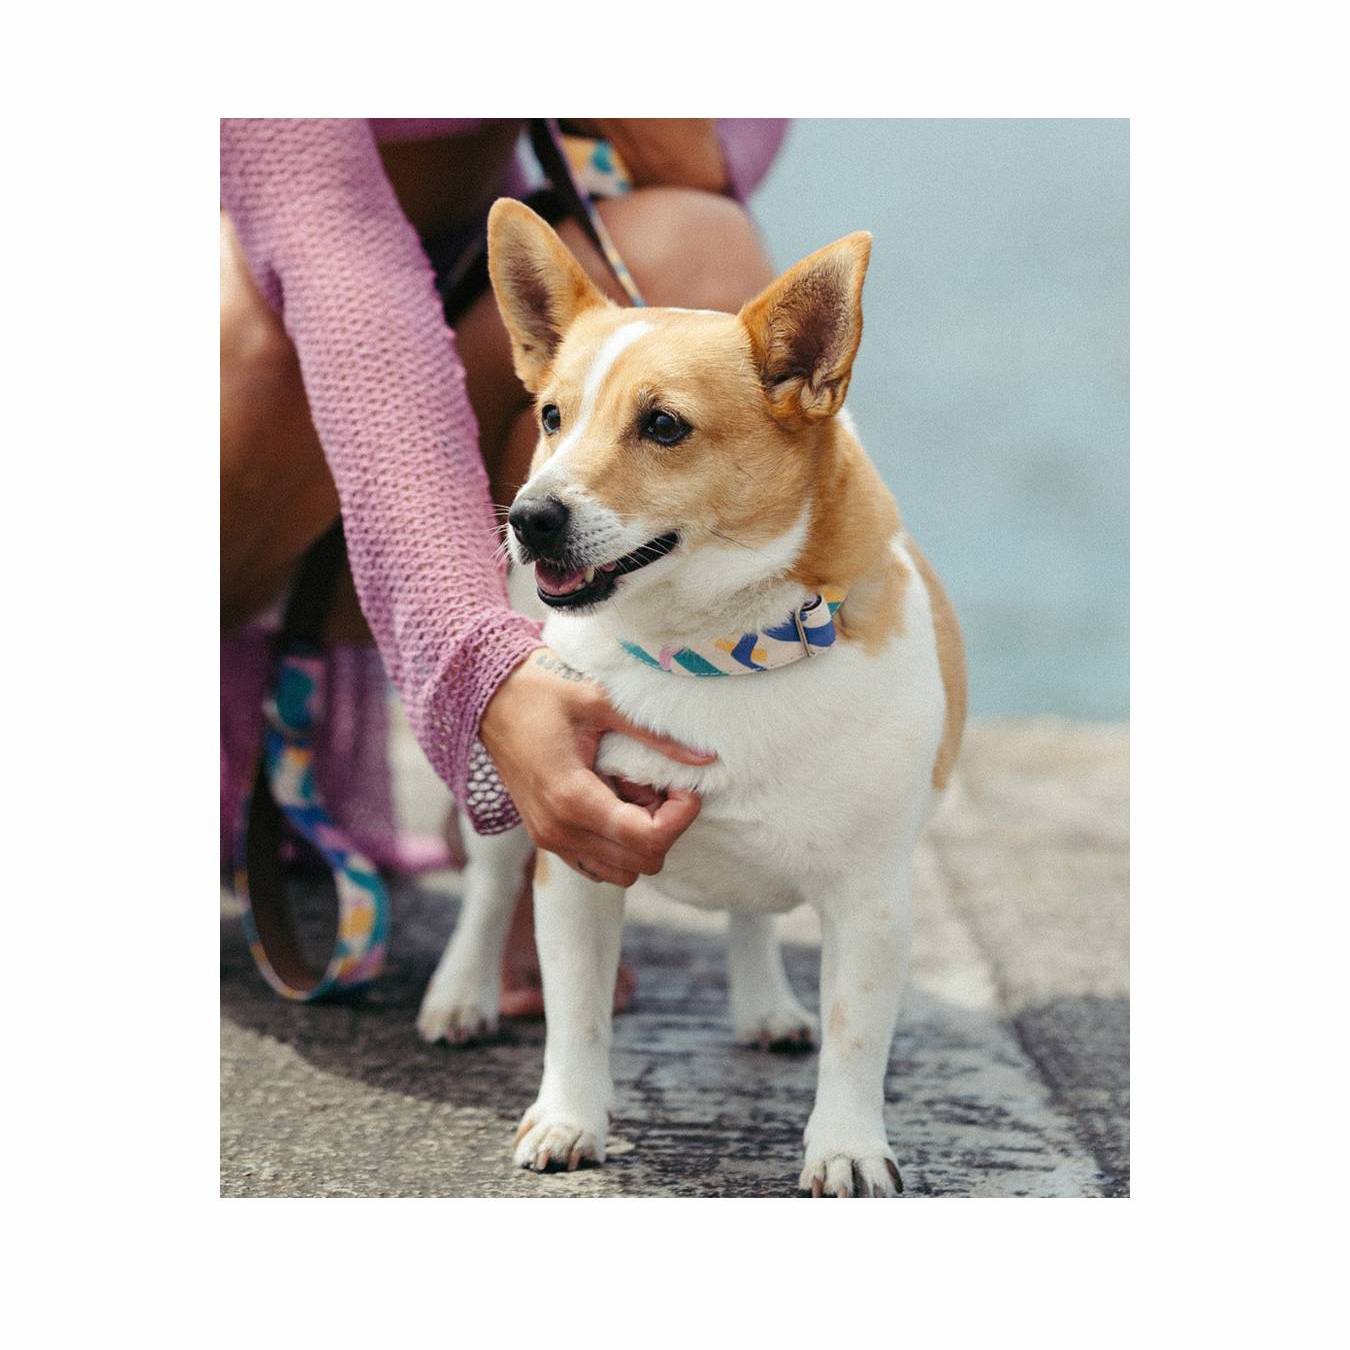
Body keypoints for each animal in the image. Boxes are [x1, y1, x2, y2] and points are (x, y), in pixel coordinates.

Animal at [415, 197, 966, 1193]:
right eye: (552, 416)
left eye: (664, 427)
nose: (530, 517)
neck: (716, 650)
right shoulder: (576, 866)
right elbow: (578, 1014)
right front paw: (569, 1120)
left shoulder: (871, 901)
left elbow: (856, 1038)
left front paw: (847, 1146)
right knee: (490, 882)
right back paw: (462, 993)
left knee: (752, 915)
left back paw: (766, 1005)